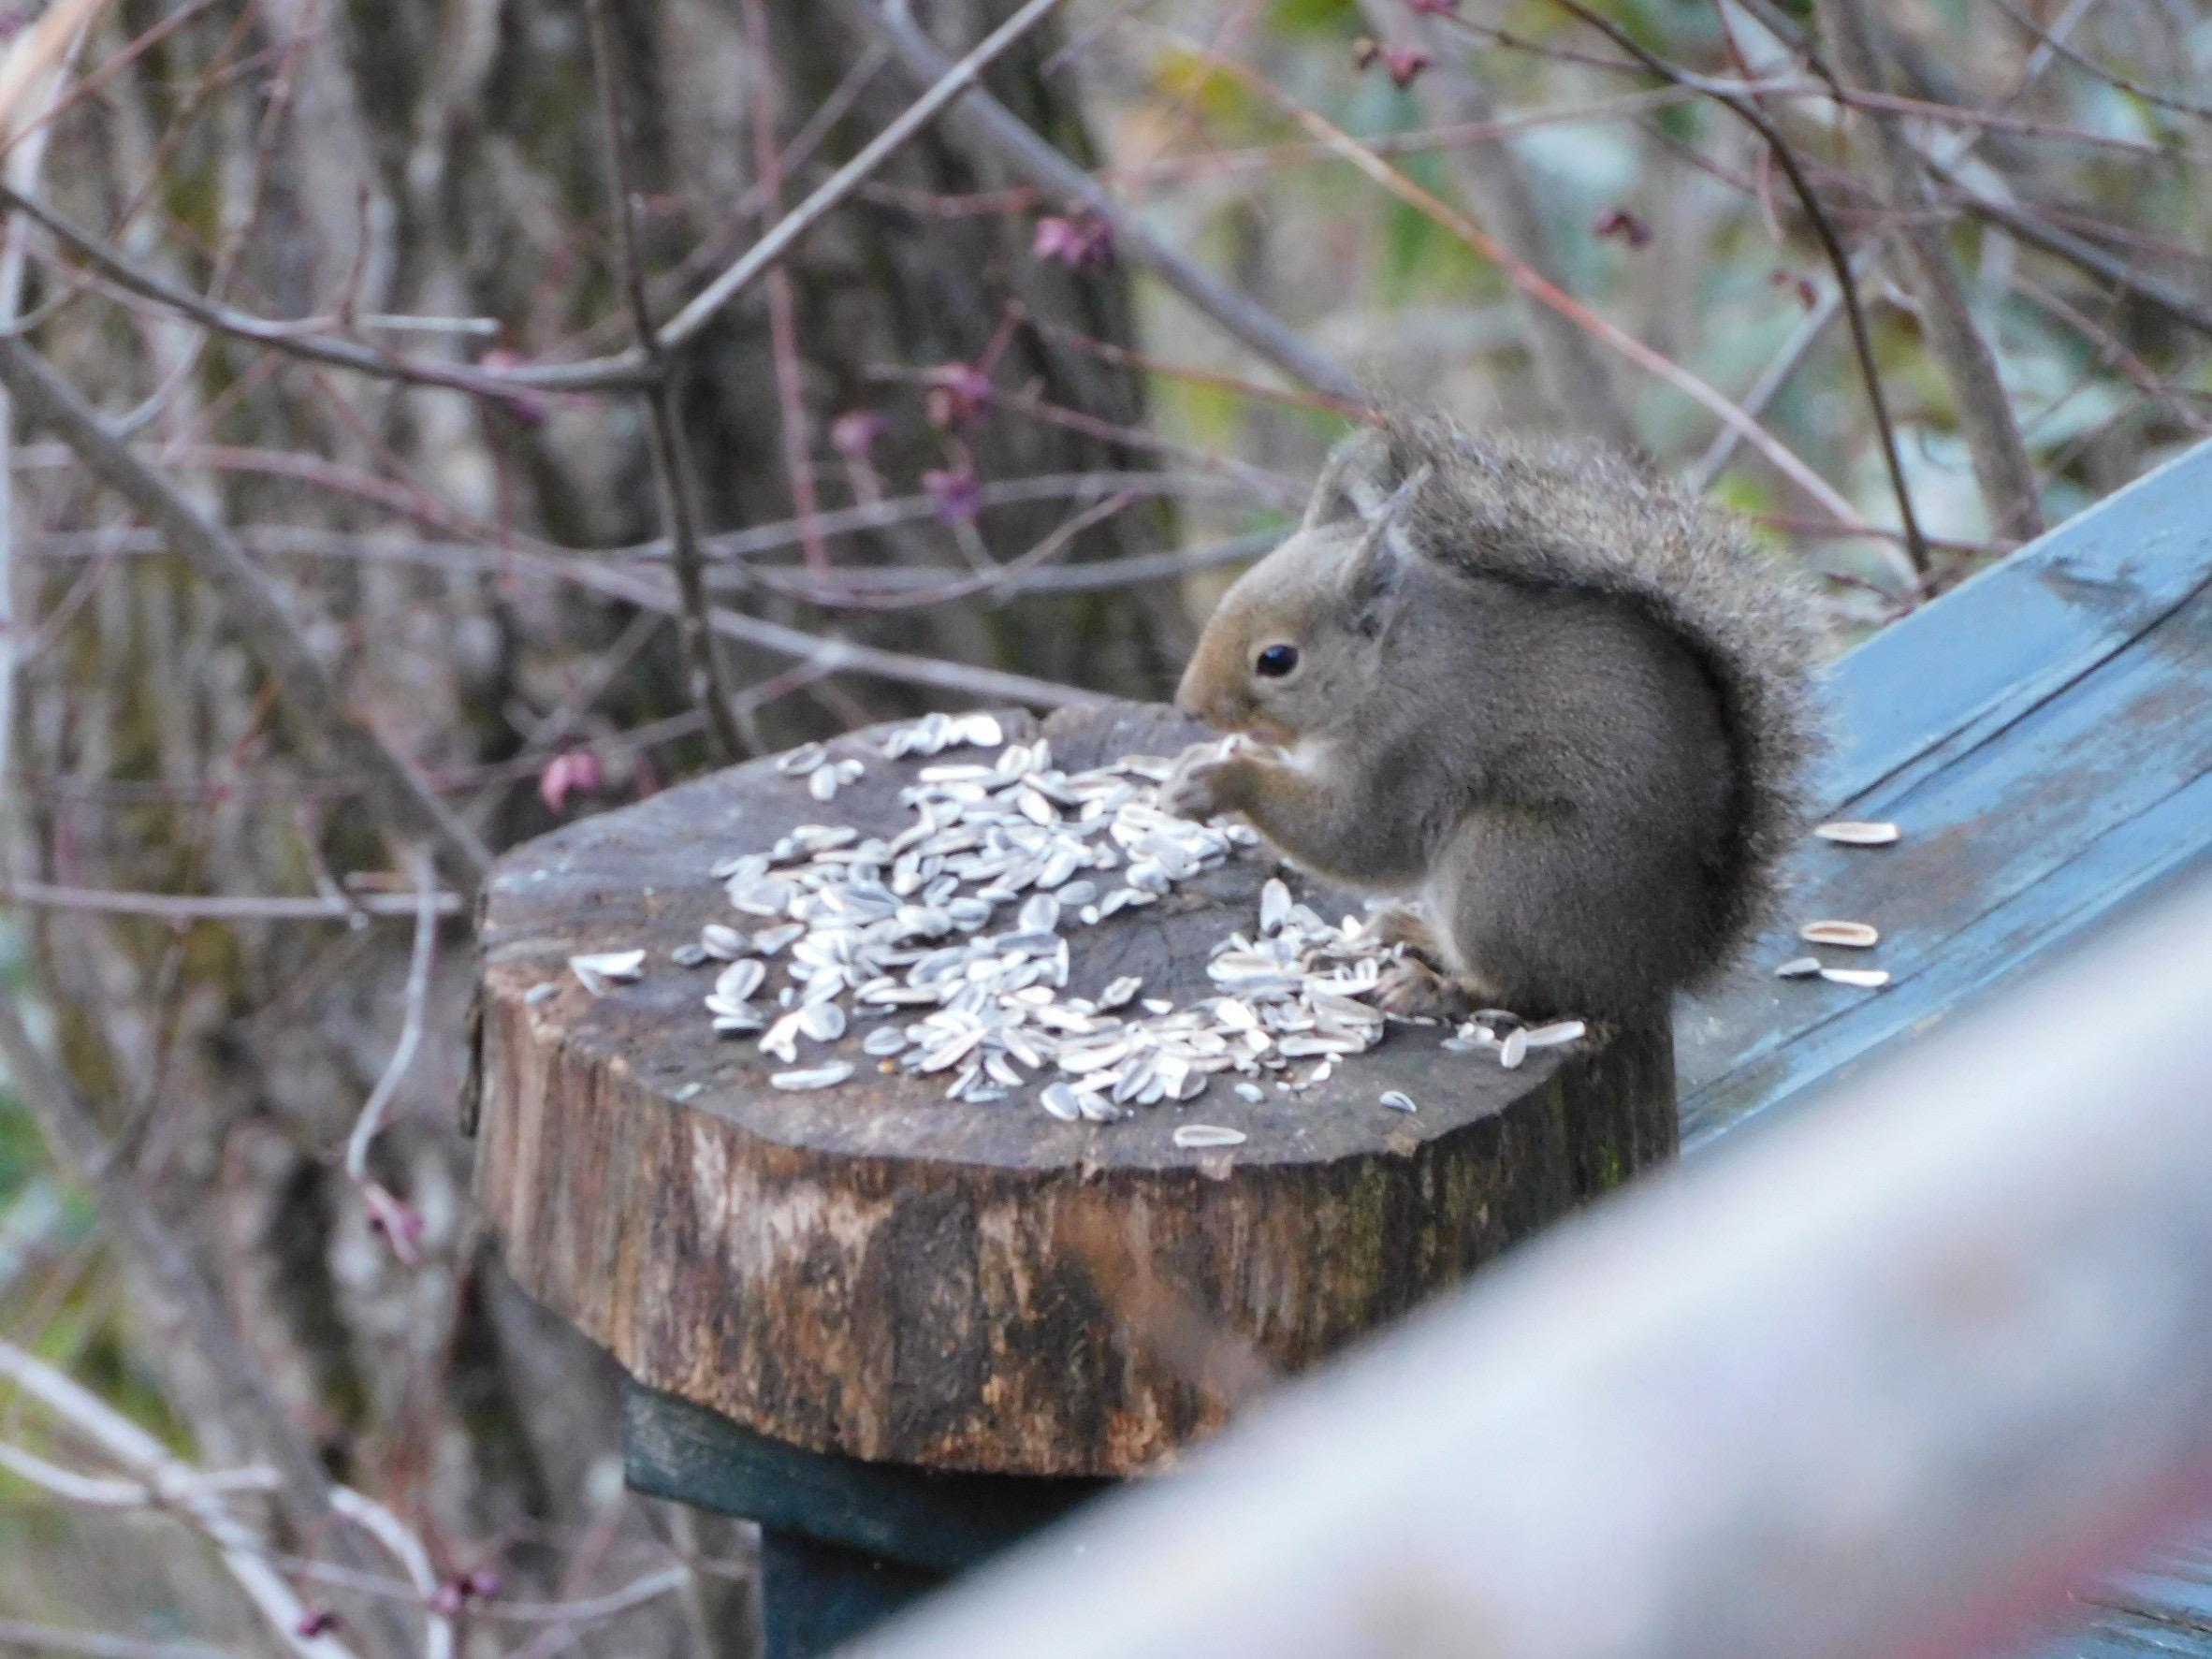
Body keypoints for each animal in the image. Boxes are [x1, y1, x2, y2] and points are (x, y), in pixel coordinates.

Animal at [1168, 414, 1822, 1026]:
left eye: (1277, 660)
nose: (1189, 706)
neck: (1391, 668)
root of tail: (1661, 968)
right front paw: (1193, 765)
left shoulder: (1413, 749)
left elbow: (1358, 838)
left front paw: (1222, 780)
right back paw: (1414, 931)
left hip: (1508, 870)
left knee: (1532, 992)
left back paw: (1438, 989)